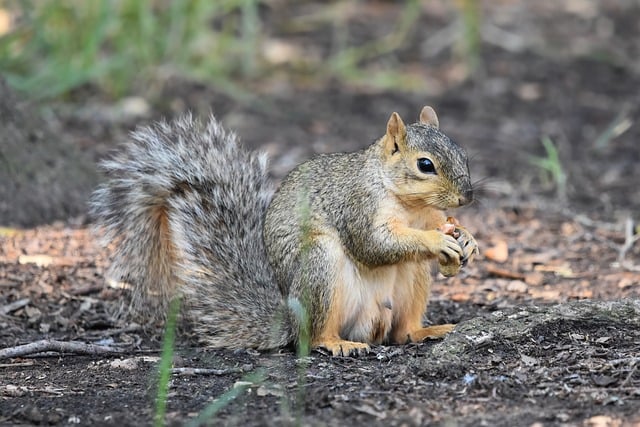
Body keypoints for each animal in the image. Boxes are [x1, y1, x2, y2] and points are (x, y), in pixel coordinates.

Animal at [90, 105, 479, 356]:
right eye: (425, 165)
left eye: (463, 153)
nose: (467, 197)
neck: (408, 204)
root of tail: (289, 320)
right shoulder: (357, 206)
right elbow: (372, 245)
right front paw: (436, 241)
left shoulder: (428, 214)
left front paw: (467, 238)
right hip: (319, 266)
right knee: (314, 336)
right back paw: (336, 343)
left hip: (410, 282)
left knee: (401, 332)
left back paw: (425, 330)